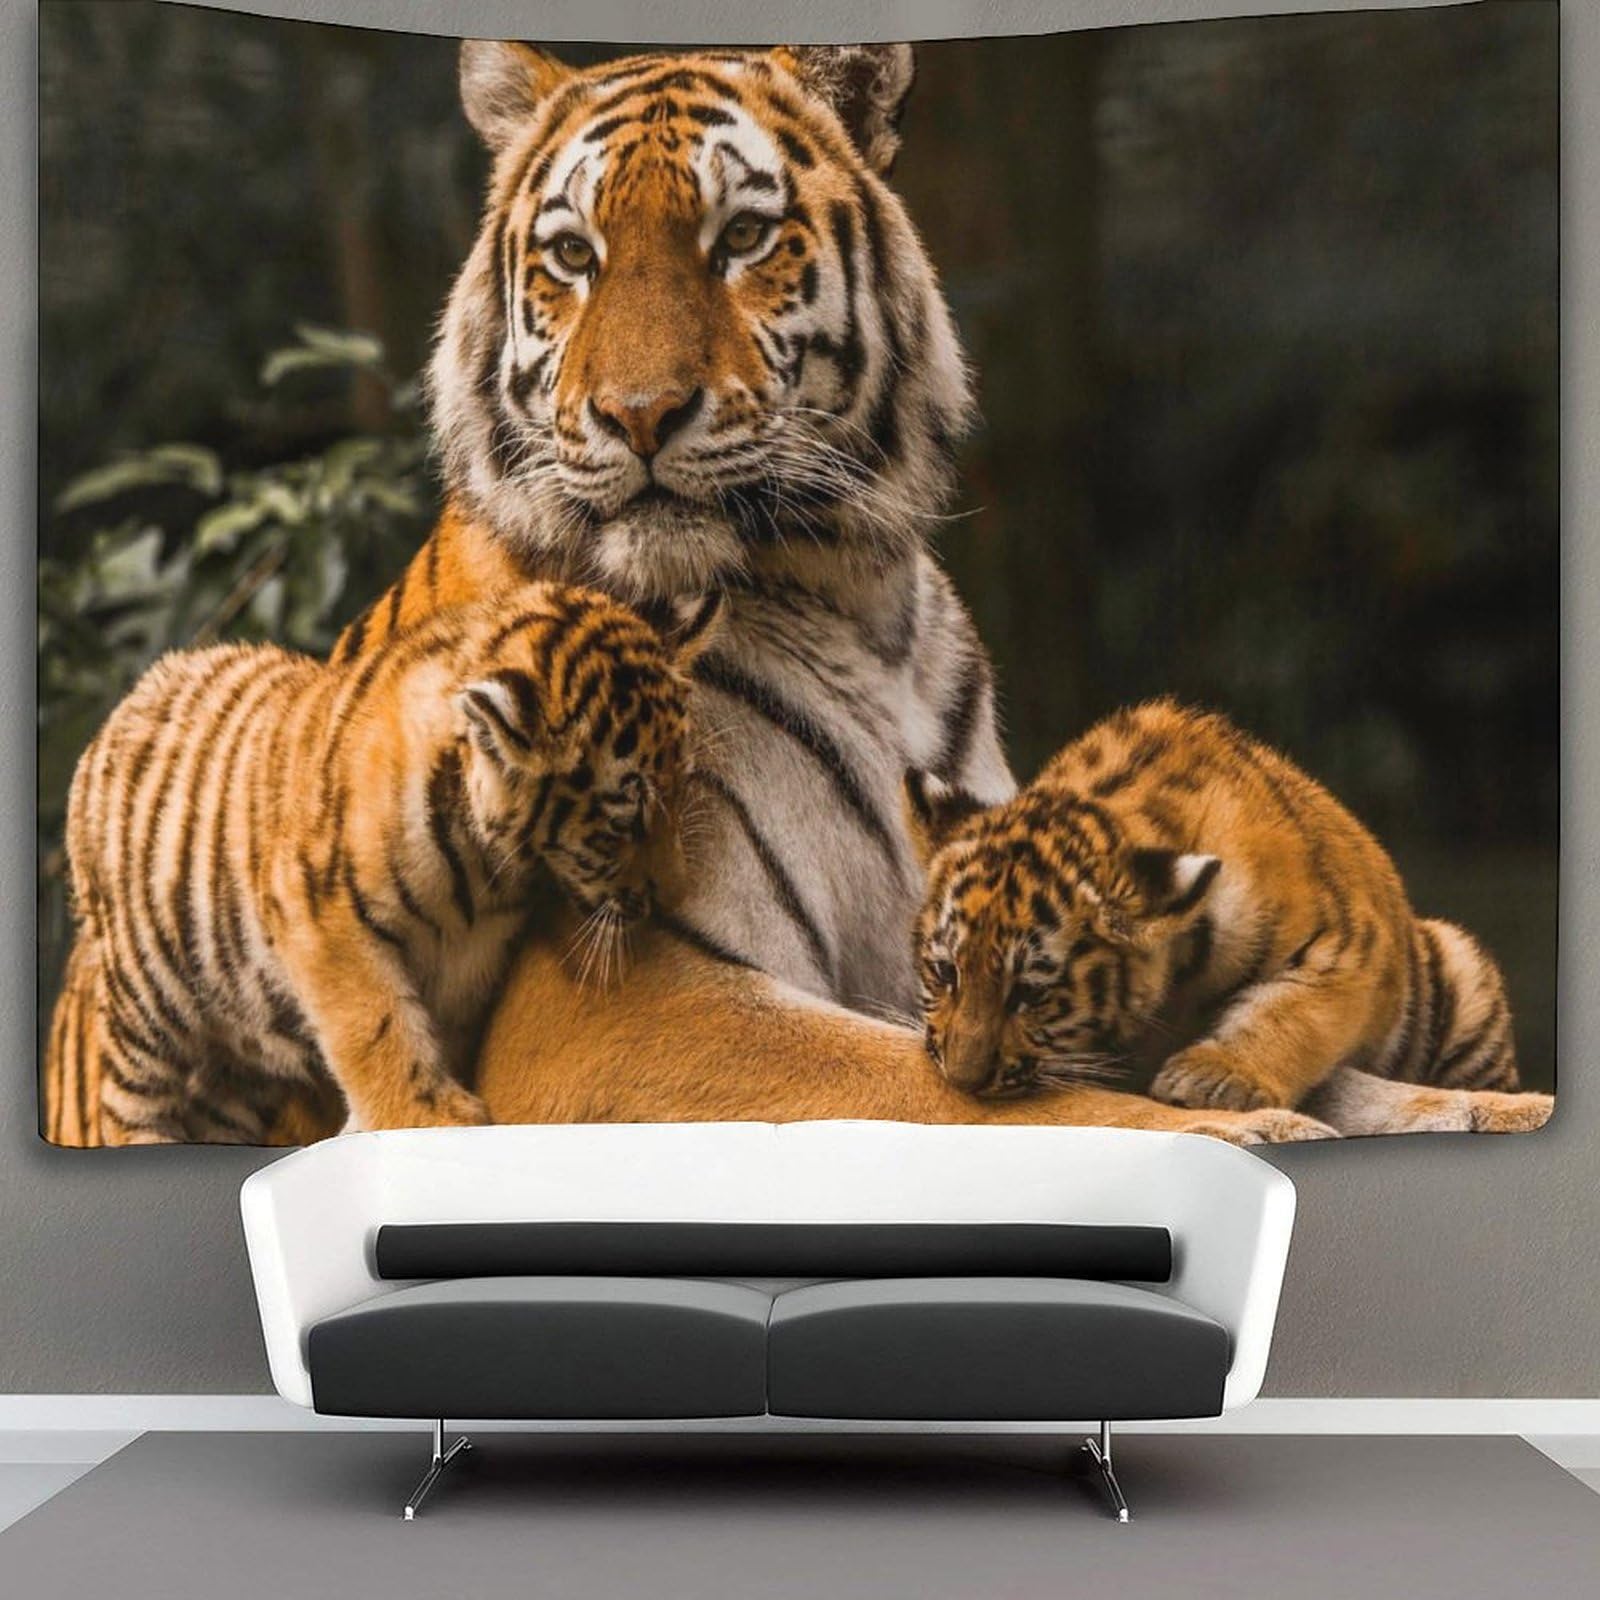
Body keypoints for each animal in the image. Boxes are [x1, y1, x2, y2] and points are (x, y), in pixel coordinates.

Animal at [46, 581, 713, 1146]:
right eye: (623, 822)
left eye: (683, 786)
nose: (676, 895)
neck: (481, 872)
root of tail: (126, 703)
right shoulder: (322, 915)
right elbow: (376, 1028)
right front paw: (428, 1119)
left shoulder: (470, 957)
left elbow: (430, 1032)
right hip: (147, 1000)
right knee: (128, 1099)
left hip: (232, 1068)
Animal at [901, 698, 1552, 1133]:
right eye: (945, 972)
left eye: (1030, 995)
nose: (961, 1080)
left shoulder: (1345, 945)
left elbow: (1291, 1012)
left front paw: (1211, 1077)